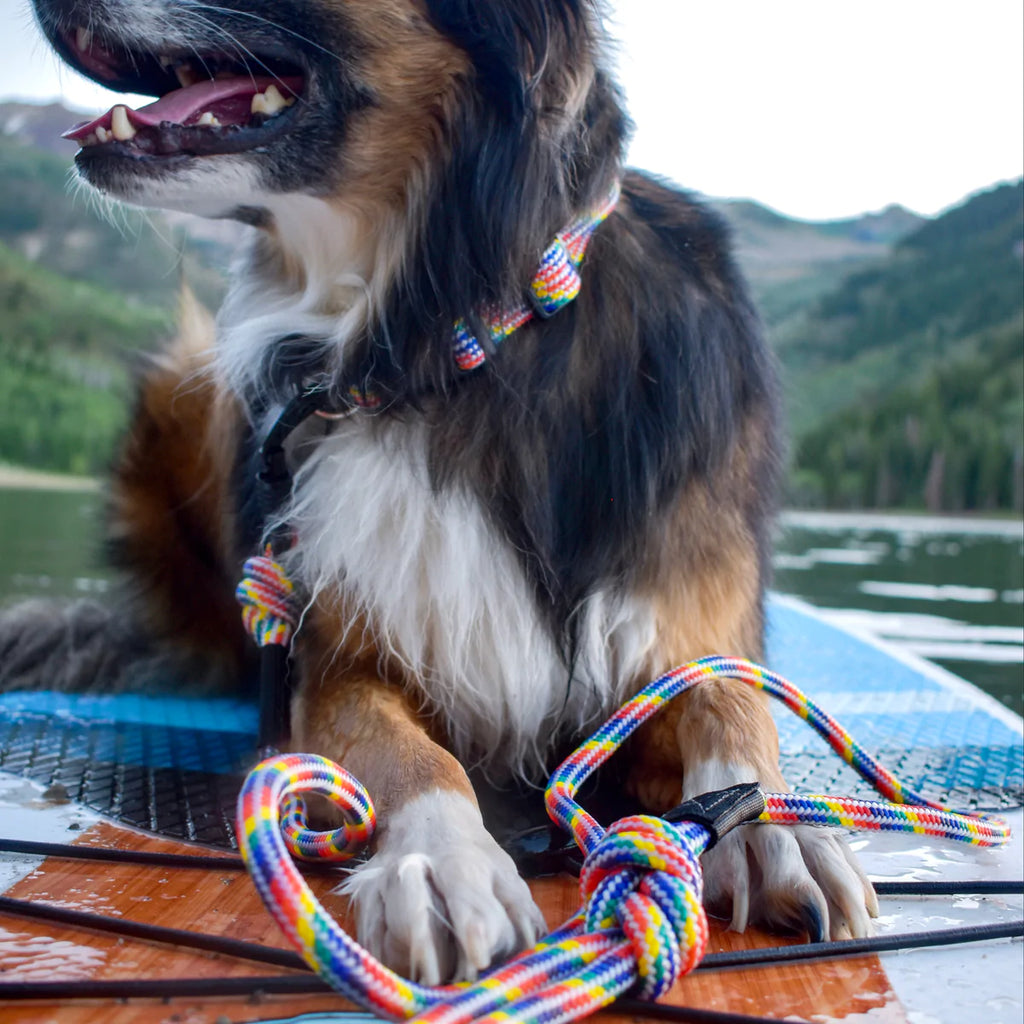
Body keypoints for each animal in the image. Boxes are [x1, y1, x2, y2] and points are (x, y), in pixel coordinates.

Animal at [24, 0, 876, 983]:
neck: (448, 342)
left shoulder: (687, 619)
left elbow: (728, 702)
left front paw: (776, 828)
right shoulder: (336, 664)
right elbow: (413, 757)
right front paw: (443, 860)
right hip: (183, 382)